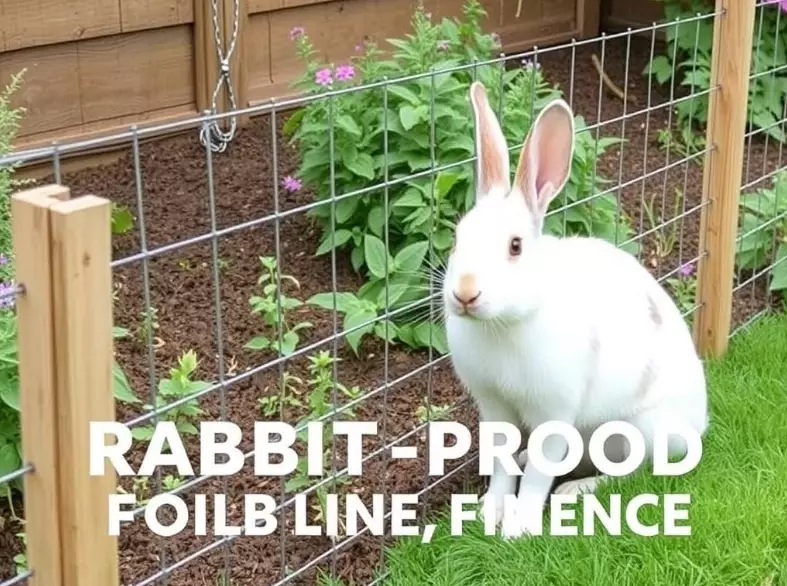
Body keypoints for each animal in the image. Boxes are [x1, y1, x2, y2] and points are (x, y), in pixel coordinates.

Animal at [441, 81, 709, 539]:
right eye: (458, 238)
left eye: (515, 246)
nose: (466, 293)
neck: (504, 324)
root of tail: (700, 425)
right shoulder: (494, 408)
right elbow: (500, 468)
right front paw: (488, 513)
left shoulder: (553, 412)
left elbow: (536, 480)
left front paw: (519, 530)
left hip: (639, 431)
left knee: (629, 473)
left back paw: (575, 490)